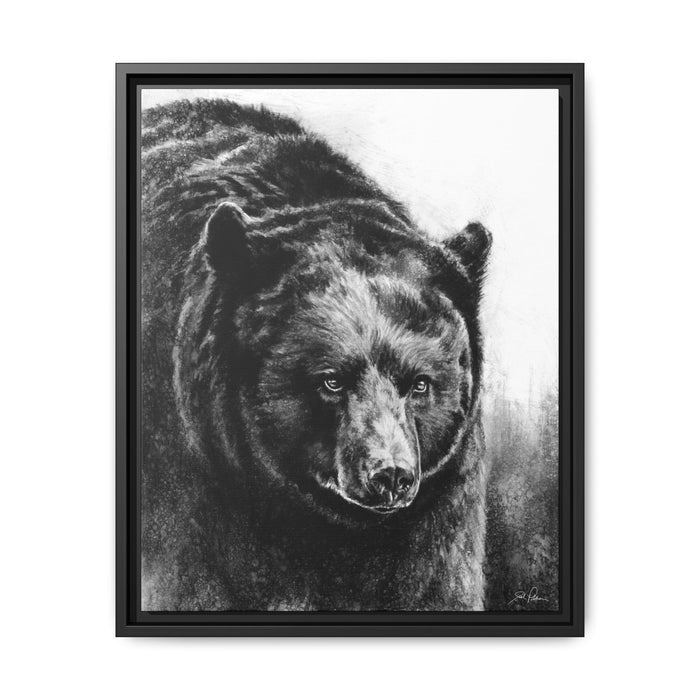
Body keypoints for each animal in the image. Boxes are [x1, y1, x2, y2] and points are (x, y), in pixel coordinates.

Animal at [140, 98, 492, 611]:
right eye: (331, 379)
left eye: (420, 383)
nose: (391, 475)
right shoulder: (191, 488)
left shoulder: (438, 514)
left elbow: (437, 584)